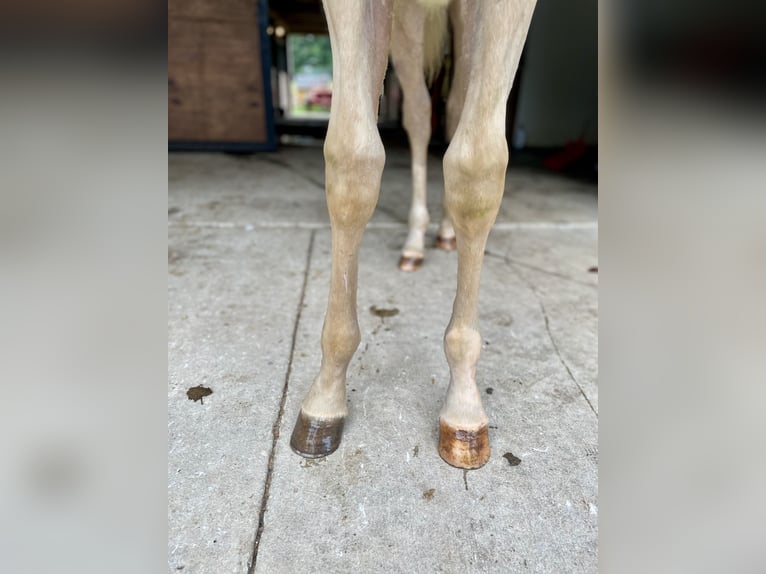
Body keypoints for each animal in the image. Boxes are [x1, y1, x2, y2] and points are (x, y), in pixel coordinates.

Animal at [289, 0, 537, 469]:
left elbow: (477, 166)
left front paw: (463, 410)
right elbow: (353, 160)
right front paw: (325, 399)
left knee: (455, 107)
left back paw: (445, 231)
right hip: (409, 21)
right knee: (422, 115)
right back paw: (416, 241)